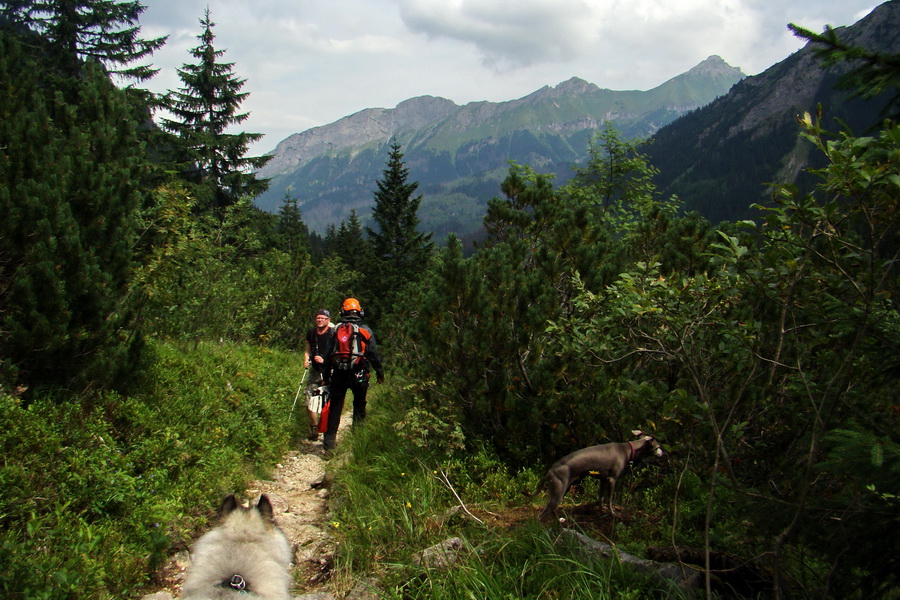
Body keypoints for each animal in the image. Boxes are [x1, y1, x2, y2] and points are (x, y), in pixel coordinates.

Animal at [532, 432, 664, 520]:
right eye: (658, 447)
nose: (662, 454)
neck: (627, 449)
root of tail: (550, 471)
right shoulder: (612, 479)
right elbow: (609, 499)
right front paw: (613, 514)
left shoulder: (603, 480)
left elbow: (600, 498)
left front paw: (601, 512)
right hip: (559, 492)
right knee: (541, 516)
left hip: (562, 490)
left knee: (551, 510)